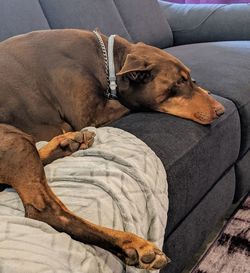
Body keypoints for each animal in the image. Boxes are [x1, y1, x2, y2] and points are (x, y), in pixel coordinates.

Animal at [0, 29, 225, 268]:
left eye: (188, 78)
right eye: (179, 82)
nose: (221, 110)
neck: (106, 61)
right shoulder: (90, 115)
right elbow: (129, 104)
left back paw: (67, 143)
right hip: (11, 138)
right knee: (47, 212)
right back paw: (133, 243)